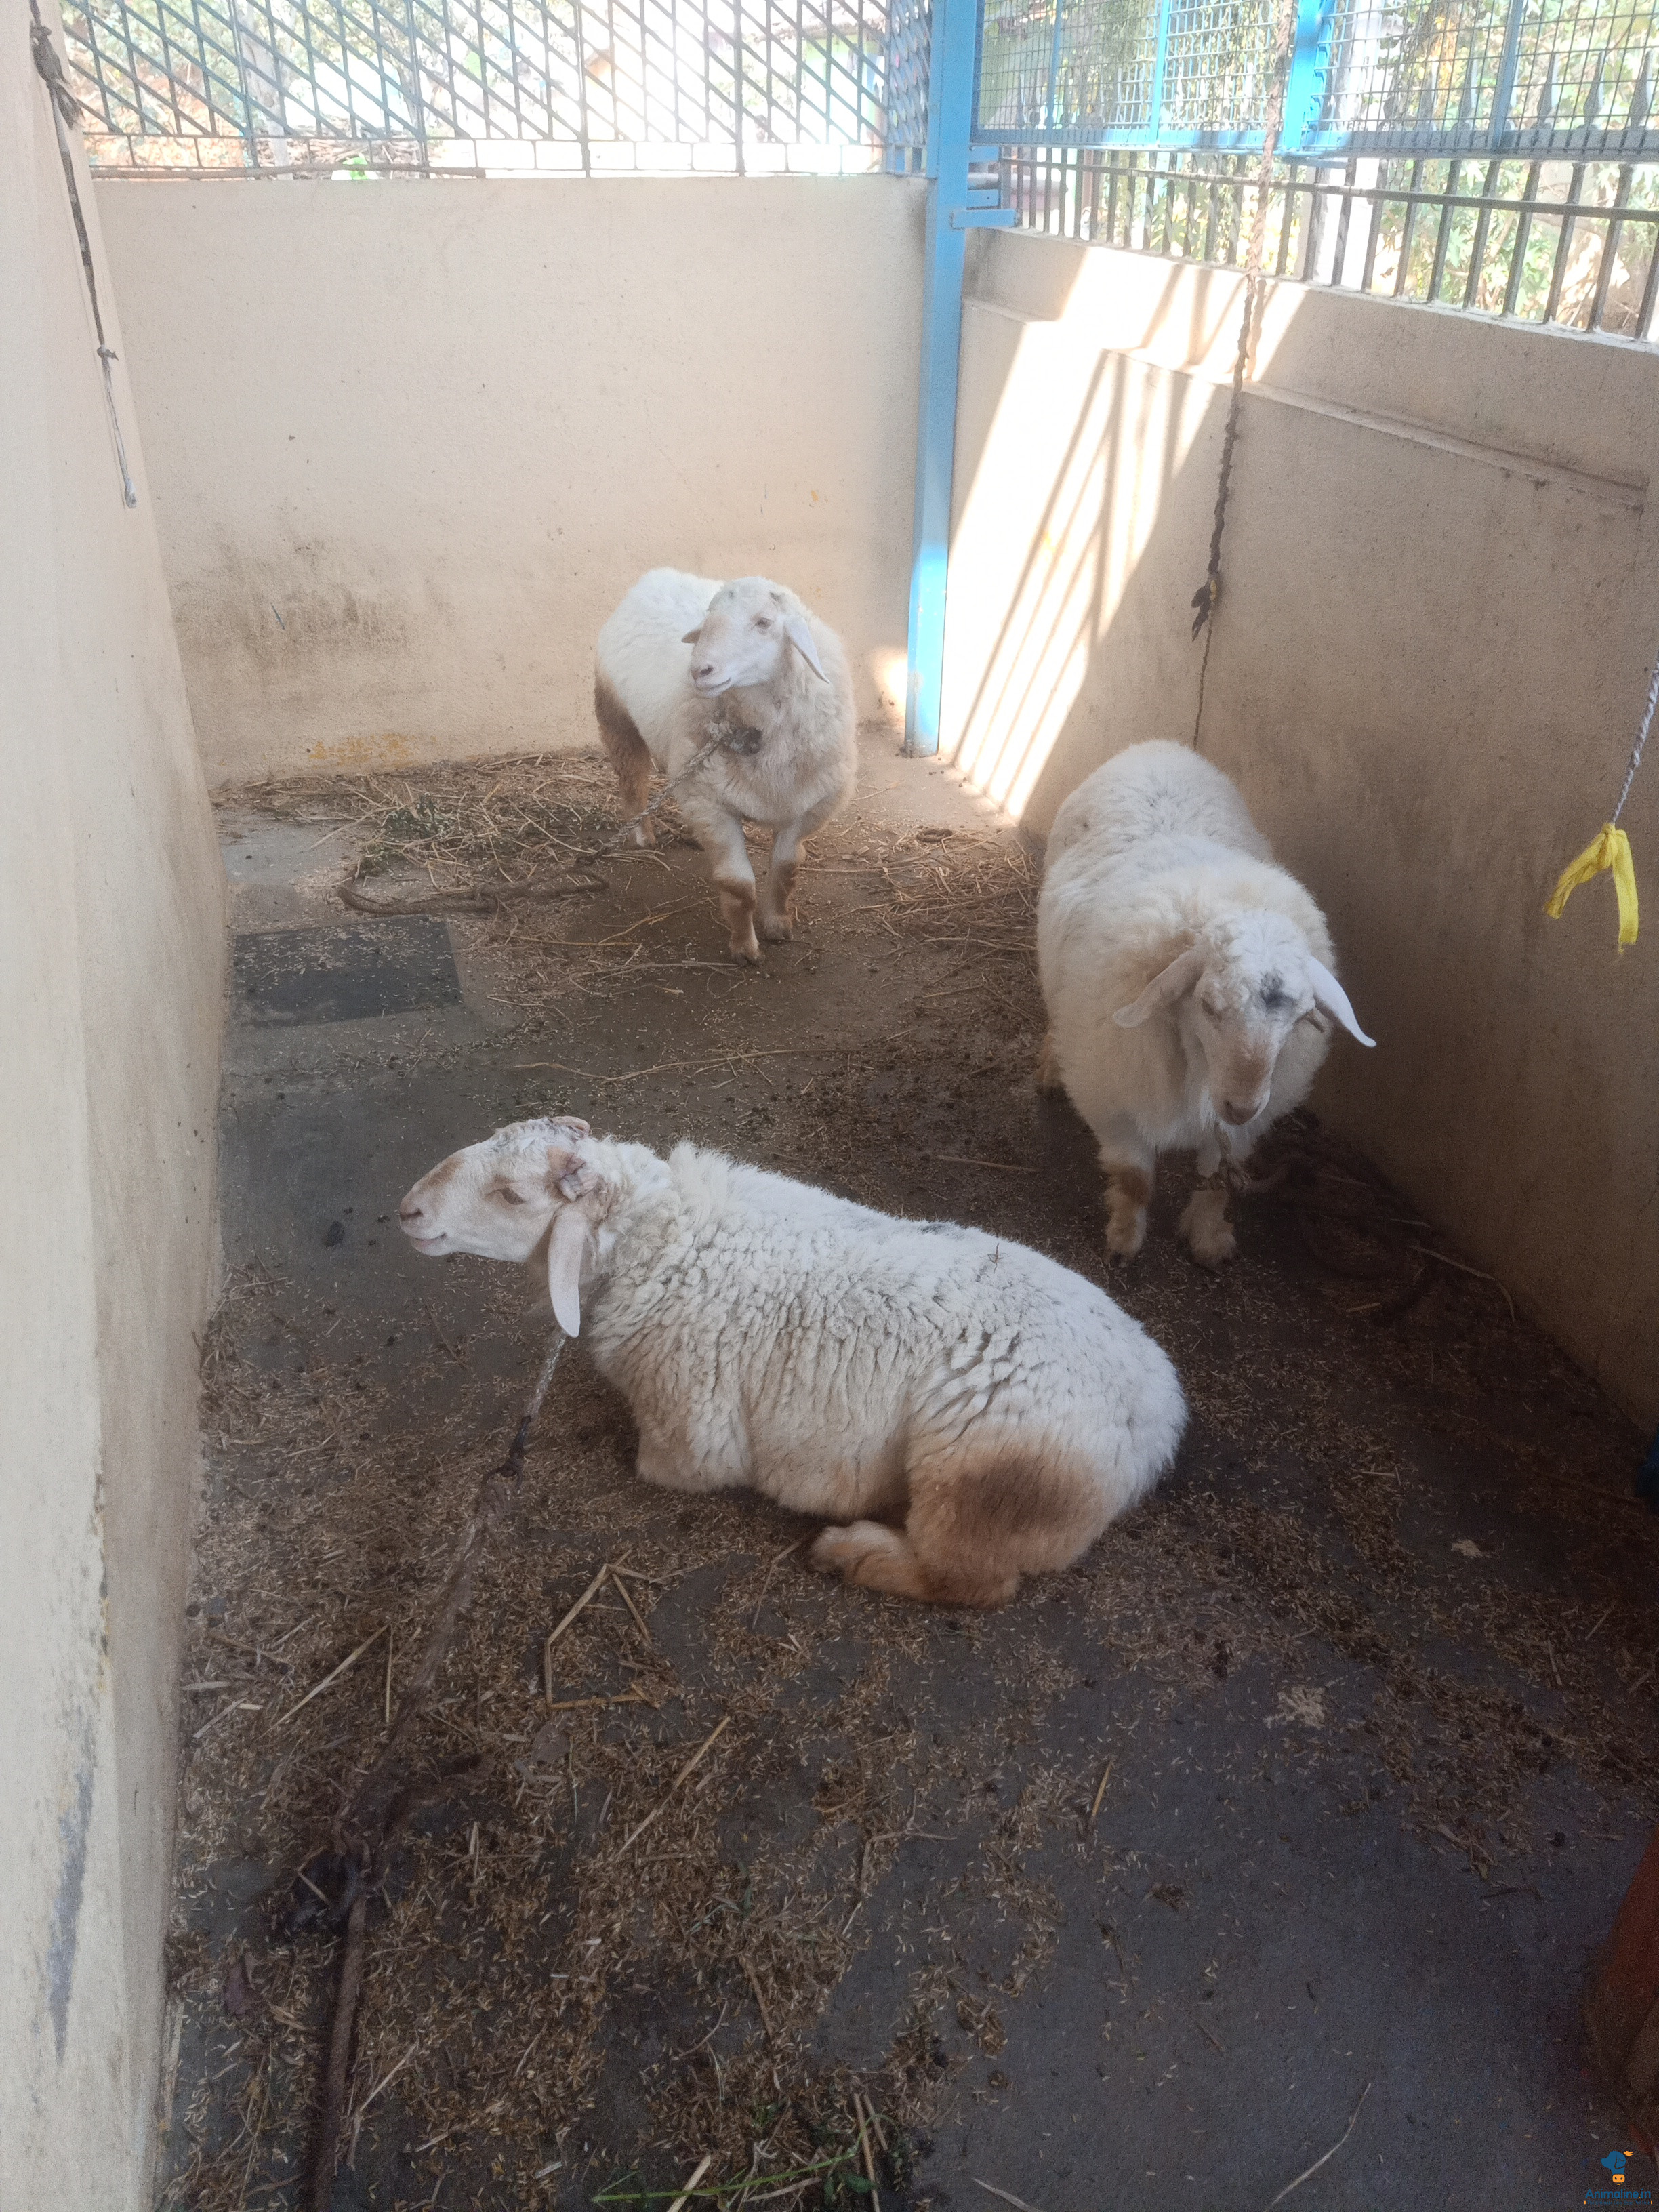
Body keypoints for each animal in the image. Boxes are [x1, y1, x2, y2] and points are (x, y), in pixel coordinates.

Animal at [398, 1116, 1187, 1608]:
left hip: (976, 1479)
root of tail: (1158, 1419)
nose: (407, 1210)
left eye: (511, 1195)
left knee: (973, 1583)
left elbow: (657, 1465)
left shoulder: (690, 1437)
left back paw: (855, 1553)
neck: (664, 1240)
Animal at [594, 568, 858, 962]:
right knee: (632, 783)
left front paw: (777, 924)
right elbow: (739, 885)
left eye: (764, 623)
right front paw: (744, 948)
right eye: (708, 619)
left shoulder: (805, 804)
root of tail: (656, 575)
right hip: (617, 719)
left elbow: (785, 869)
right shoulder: (710, 804)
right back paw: (643, 834)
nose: (699, 671)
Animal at [1035, 740, 1374, 1268]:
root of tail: (1158, 746)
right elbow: (1136, 1181)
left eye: (1301, 1016)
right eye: (1209, 1005)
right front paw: (1124, 1241)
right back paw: (1051, 1068)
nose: (1241, 1105)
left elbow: (1217, 1182)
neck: (1199, 1068)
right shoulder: (1112, 1100)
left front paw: (1209, 1237)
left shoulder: (1238, 1129)